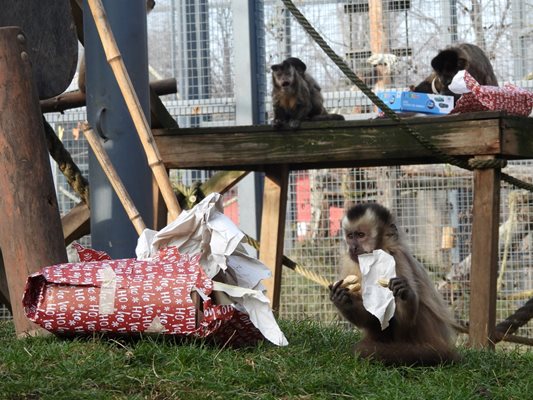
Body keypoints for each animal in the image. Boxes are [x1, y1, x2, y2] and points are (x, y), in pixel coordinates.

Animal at [328, 203, 458, 366]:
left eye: (361, 235)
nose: (353, 247)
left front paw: (404, 294)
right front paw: (343, 300)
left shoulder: (396, 257)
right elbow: (374, 313)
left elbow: (405, 319)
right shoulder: (349, 261)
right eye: (350, 236)